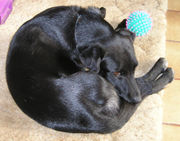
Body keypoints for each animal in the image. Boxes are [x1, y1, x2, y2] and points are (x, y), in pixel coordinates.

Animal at [5, 6, 174, 134]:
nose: (136, 99)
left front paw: (124, 24)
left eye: (135, 67)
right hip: (96, 79)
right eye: (116, 73)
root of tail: (90, 117)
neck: (77, 26)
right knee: (144, 85)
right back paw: (162, 71)